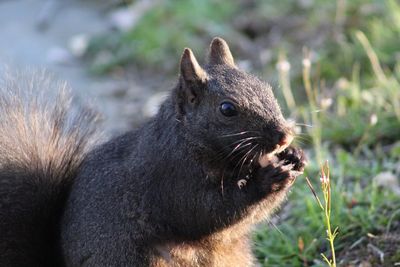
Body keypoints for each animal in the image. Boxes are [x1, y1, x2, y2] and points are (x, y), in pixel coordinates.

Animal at [0, 38, 306, 267]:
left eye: (266, 88)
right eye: (227, 109)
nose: (284, 136)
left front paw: (294, 156)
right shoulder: (172, 179)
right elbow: (209, 211)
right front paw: (269, 177)